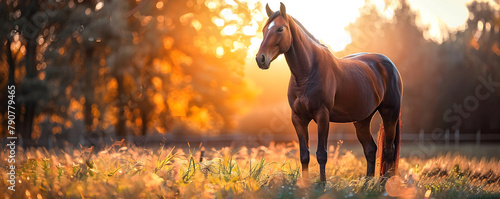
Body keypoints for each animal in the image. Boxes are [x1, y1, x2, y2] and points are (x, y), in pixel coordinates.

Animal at [256, 2, 404, 182]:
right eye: (264, 29)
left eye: (280, 29)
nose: (260, 59)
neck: (307, 73)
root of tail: (389, 65)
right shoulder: (298, 119)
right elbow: (304, 155)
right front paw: (305, 185)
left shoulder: (322, 116)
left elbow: (321, 154)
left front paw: (322, 184)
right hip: (362, 120)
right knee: (370, 149)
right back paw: (367, 185)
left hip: (390, 114)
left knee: (388, 151)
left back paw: (383, 185)